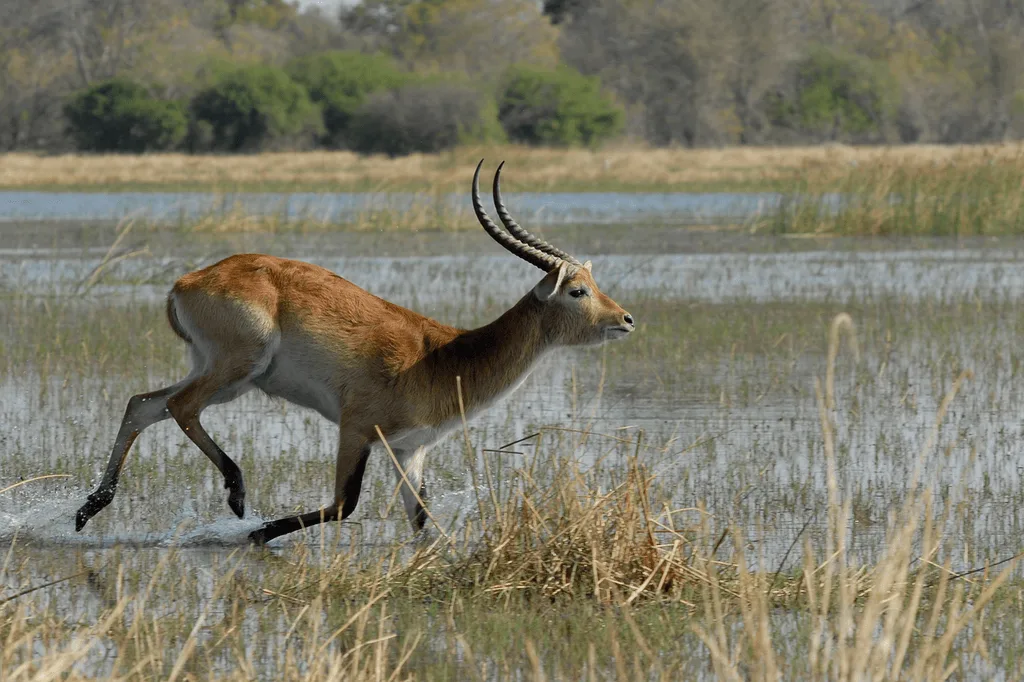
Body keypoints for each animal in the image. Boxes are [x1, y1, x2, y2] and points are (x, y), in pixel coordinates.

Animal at [74, 161, 635, 545]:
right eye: (577, 291)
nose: (626, 319)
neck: (445, 356)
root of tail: (187, 281)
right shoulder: (357, 428)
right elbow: (345, 503)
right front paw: (259, 532)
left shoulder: (410, 451)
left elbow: (422, 520)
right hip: (239, 368)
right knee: (178, 406)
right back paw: (236, 496)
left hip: (222, 373)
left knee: (143, 403)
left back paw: (89, 510)